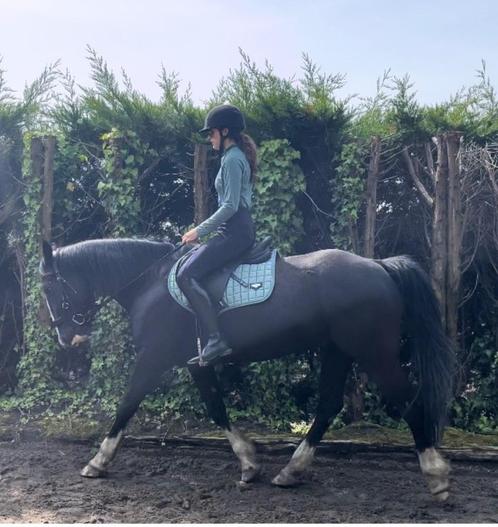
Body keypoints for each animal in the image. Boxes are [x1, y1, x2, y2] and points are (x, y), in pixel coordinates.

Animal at [40, 239, 456, 504]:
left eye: (51, 289)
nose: (65, 337)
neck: (149, 282)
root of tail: (380, 267)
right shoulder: (196, 365)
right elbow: (216, 409)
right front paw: (249, 463)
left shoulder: (153, 357)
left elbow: (127, 405)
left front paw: (97, 462)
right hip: (338, 351)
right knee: (328, 406)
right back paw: (291, 471)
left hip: (373, 353)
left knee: (408, 401)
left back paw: (436, 476)